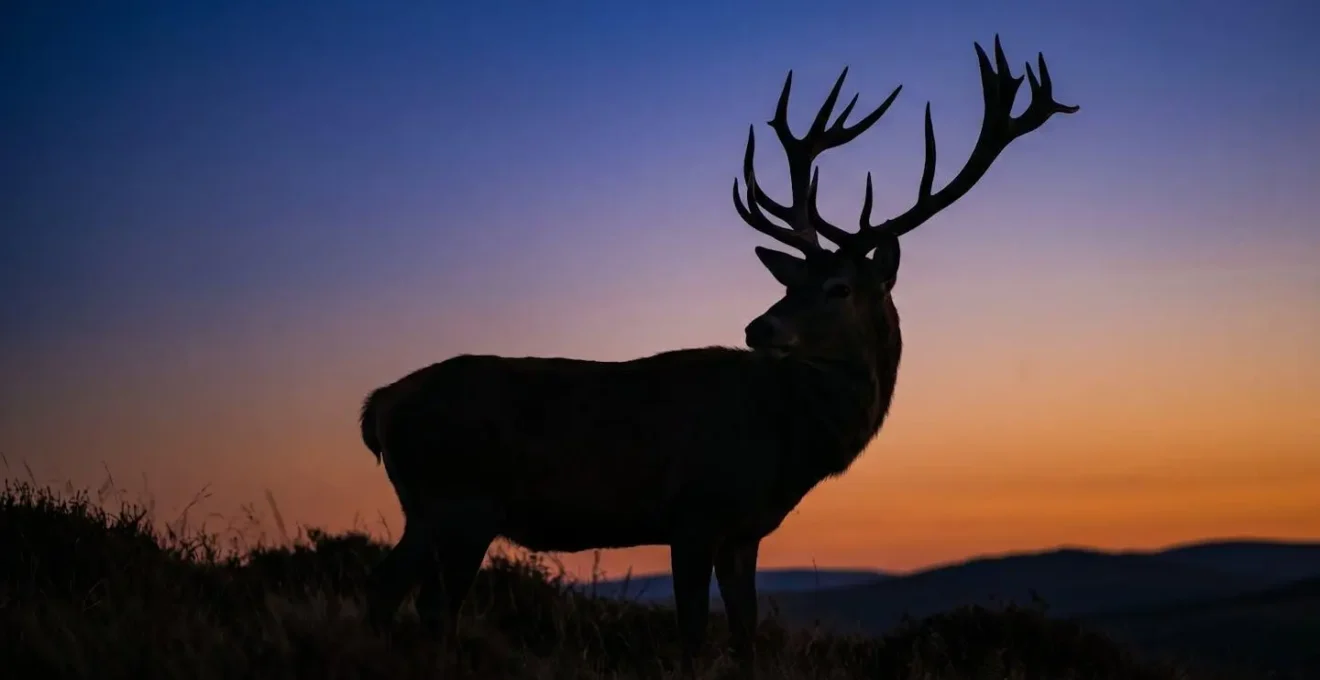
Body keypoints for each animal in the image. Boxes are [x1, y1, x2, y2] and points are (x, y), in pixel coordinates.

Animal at [358, 35, 1076, 676]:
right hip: (461, 499)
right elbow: (692, 637)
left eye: (838, 287)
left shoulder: (743, 530)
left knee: (386, 594)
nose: (758, 326)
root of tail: (379, 406)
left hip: (429, 507)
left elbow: (746, 635)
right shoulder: (693, 512)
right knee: (431, 608)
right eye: (790, 281)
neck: (787, 439)